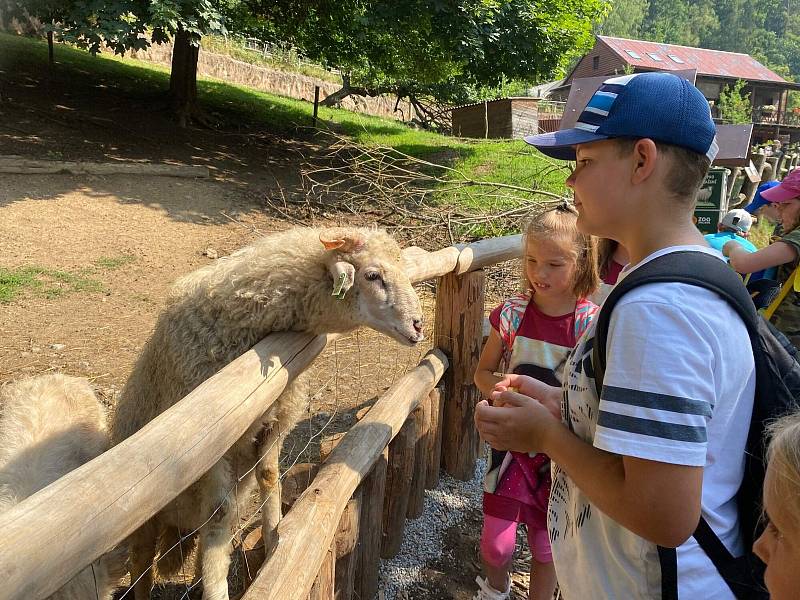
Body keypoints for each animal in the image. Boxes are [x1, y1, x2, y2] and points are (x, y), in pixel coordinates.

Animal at [111, 226, 424, 600]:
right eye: (373, 275)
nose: (419, 325)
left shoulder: (272, 419)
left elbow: (270, 476)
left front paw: (275, 543)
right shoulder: (211, 445)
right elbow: (220, 515)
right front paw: (218, 589)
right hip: (147, 515)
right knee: (143, 563)